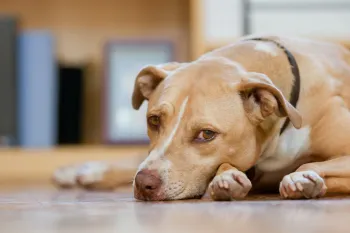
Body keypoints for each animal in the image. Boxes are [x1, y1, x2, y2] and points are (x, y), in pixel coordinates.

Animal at [52, 34, 350, 200]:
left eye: (206, 134)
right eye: (154, 120)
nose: (144, 184)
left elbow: (308, 165)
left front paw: (304, 180)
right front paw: (226, 178)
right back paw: (83, 172)